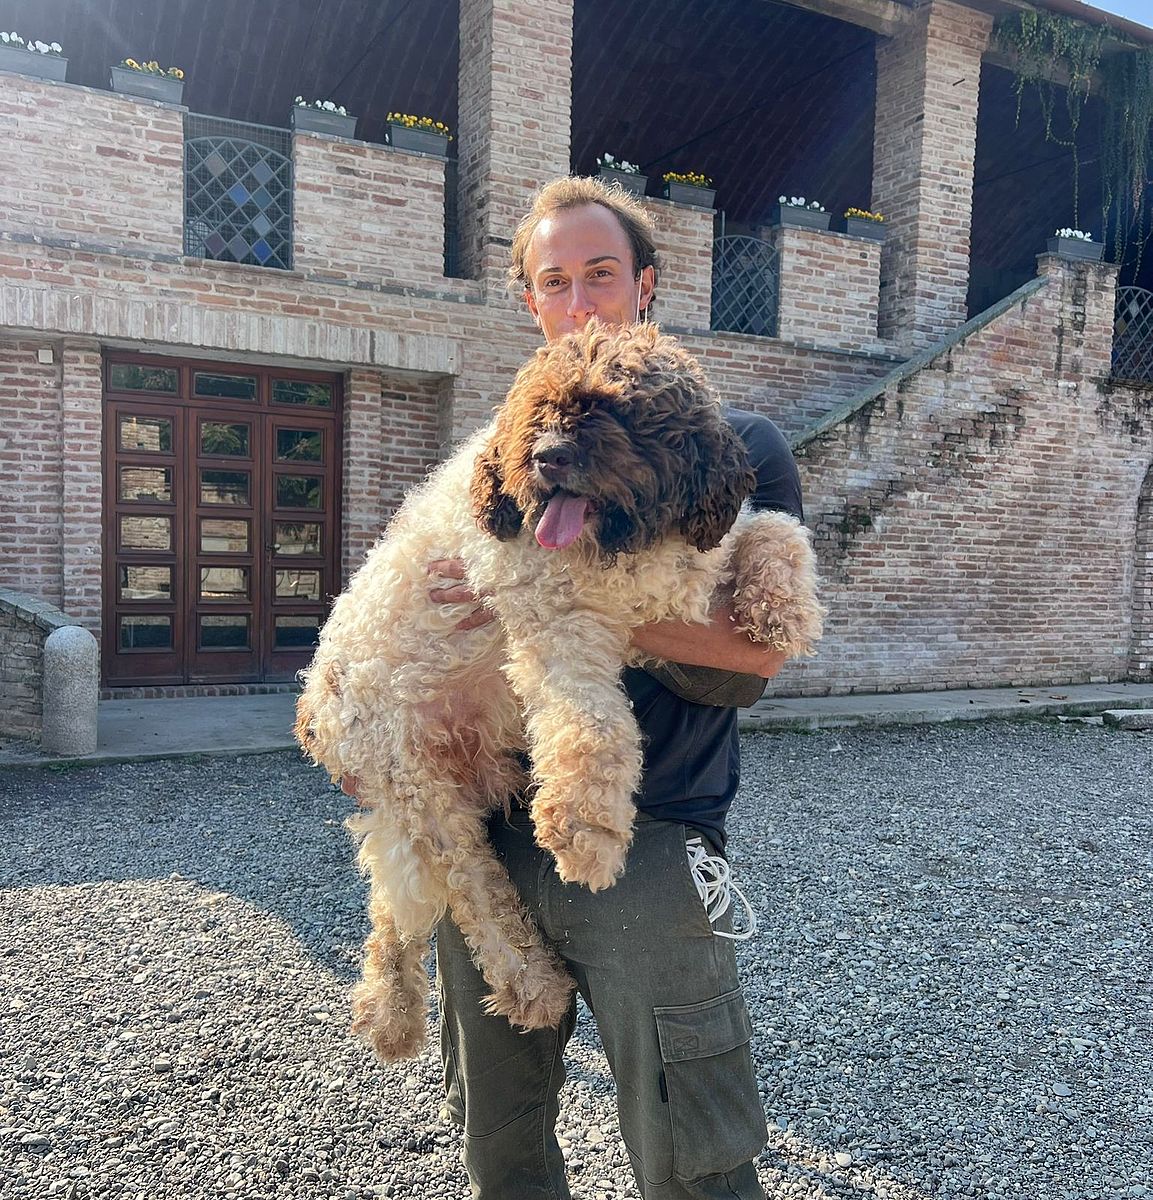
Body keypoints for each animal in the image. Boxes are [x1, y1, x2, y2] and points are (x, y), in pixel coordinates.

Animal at [295, 322, 824, 1062]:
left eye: (617, 408)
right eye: (540, 412)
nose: (547, 458)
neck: (624, 547)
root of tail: (312, 708)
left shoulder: (689, 571)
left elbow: (778, 527)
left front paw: (784, 611)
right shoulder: (557, 626)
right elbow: (592, 727)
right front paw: (585, 830)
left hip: (423, 797)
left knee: (398, 898)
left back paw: (389, 1011)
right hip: (417, 785)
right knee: (472, 892)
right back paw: (530, 986)